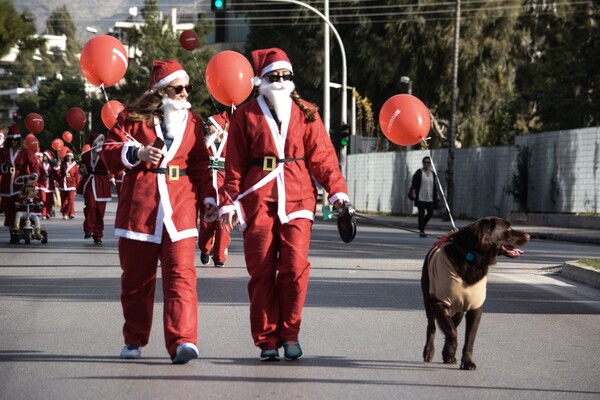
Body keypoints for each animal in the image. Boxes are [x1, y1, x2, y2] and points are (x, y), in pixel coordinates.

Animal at [422, 217, 528, 370]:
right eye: (508, 229)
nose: (529, 235)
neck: (471, 257)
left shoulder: (475, 307)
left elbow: (469, 338)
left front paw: (466, 362)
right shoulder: (439, 303)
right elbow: (452, 332)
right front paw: (450, 353)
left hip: (458, 311)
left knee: (452, 325)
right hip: (429, 302)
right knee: (432, 327)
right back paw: (429, 352)